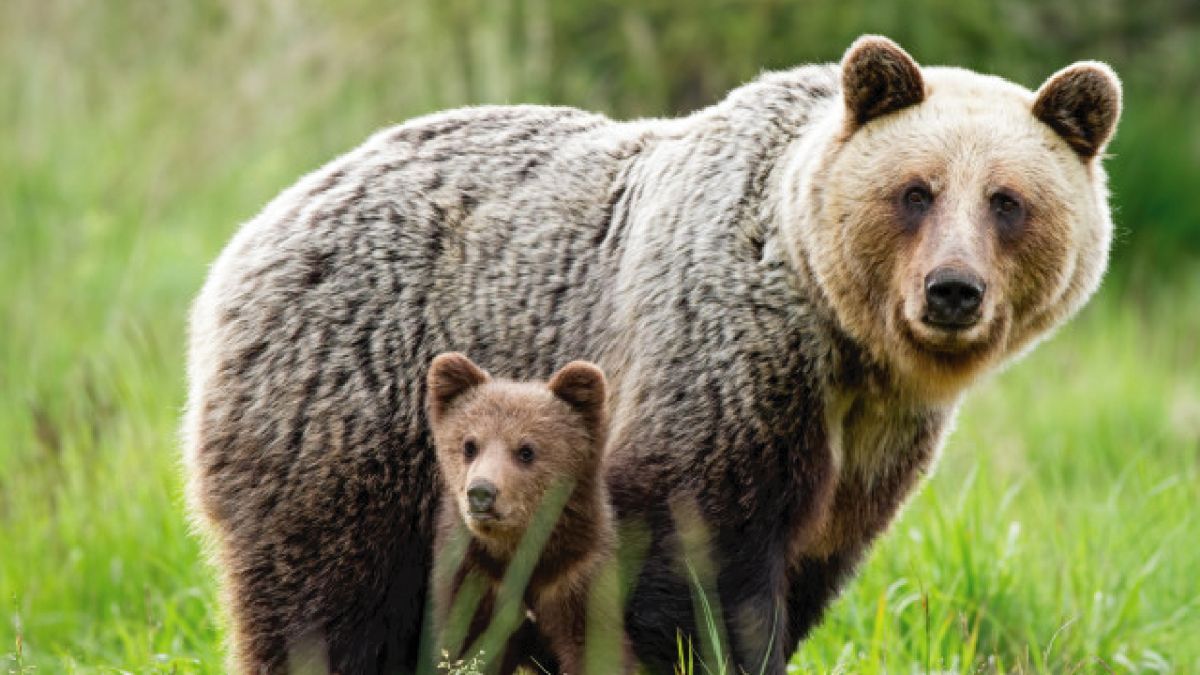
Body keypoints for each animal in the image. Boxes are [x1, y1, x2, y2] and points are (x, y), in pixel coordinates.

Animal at [180, 36, 1123, 672]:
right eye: (915, 191)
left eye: (1008, 200)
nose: (951, 291)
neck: (845, 344)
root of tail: (258, 228)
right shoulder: (725, 363)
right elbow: (695, 553)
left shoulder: (871, 446)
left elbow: (810, 564)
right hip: (352, 409)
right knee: (326, 600)